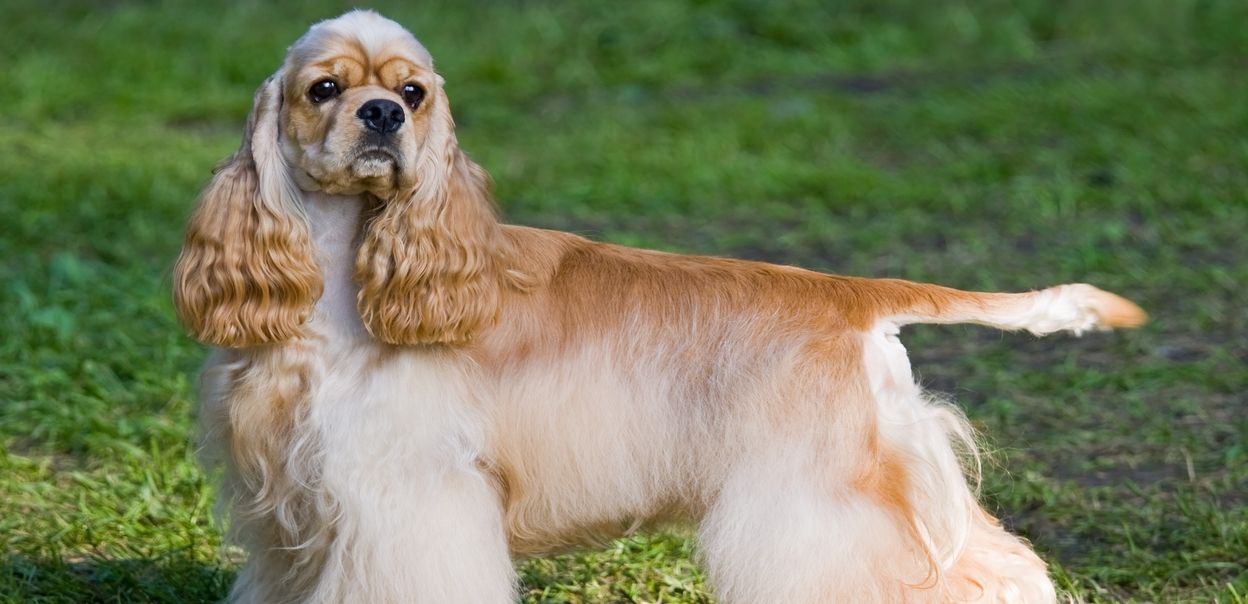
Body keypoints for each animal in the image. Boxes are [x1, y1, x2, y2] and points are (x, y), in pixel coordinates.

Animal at [173, 10, 1143, 604]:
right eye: (323, 89)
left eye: (413, 92)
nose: (382, 116)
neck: (345, 273)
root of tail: (854, 294)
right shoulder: (291, 504)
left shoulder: (407, 493)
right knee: (998, 564)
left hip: (824, 500)